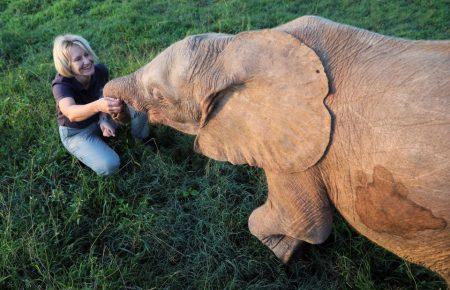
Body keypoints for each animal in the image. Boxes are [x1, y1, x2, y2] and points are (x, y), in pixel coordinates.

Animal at [103, 16, 450, 284]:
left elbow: (304, 222)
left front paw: (281, 251)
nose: (114, 110)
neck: (236, 48)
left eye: (157, 95)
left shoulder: (304, 149)